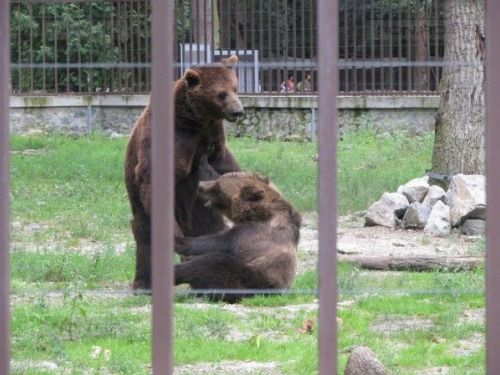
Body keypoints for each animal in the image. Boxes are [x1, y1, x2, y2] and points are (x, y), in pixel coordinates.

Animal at [124, 55, 242, 290]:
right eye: (221, 93)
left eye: (235, 87)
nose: (238, 111)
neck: (198, 120)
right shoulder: (175, 137)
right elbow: (153, 178)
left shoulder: (213, 137)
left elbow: (226, 165)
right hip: (142, 203)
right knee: (144, 232)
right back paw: (144, 283)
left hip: (199, 207)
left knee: (210, 227)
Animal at [174, 173, 302, 302]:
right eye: (219, 178)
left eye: (218, 186)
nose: (200, 185)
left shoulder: (251, 234)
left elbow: (214, 243)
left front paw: (177, 241)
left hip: (252, 281)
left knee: (214, 262)